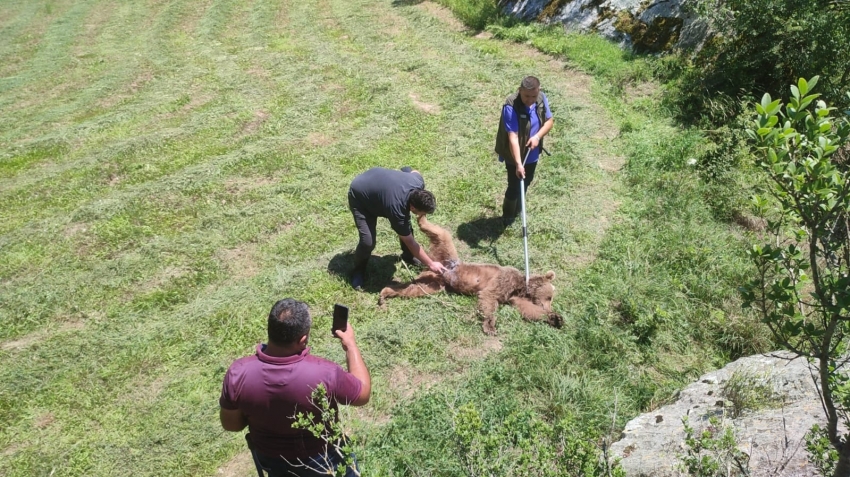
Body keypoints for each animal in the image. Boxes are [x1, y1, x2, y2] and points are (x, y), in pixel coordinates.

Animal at [378, 216, 564, 334]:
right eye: (549, 297)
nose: (549, 307)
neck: (521, 286)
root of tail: (435, 266)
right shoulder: (504, 281)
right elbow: (489, 298)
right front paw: (490, 326)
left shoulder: (514, 296)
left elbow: (528, 309)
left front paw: (555, 318)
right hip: (446, 253)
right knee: (440, 233)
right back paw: (422, 216)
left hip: (434, 284)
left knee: (413, 289)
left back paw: (386, 293)